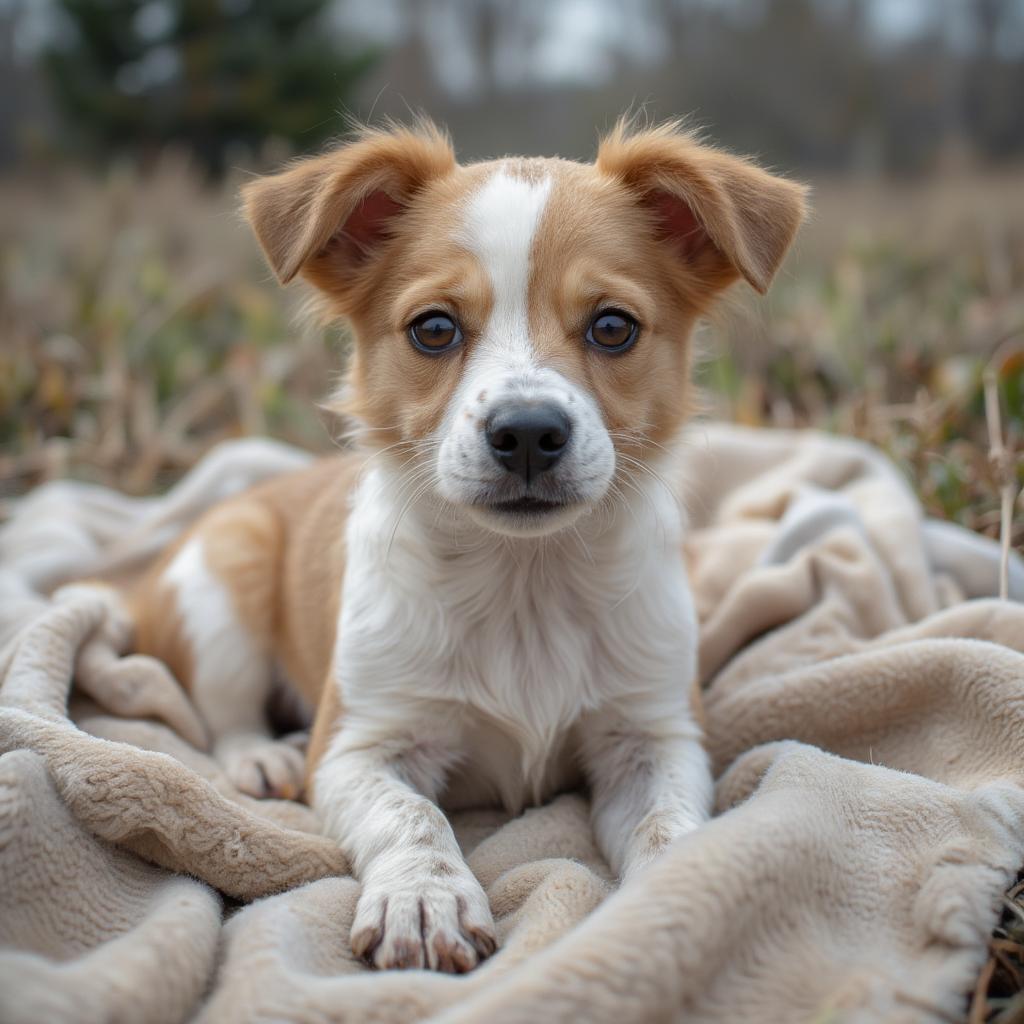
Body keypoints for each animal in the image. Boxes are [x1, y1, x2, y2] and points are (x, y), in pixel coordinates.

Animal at [116, 116, 811, 970]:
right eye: (435, 329)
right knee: (222, 713)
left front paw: (682, 881)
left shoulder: (652, 733)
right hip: (220, 587)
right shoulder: (358, 746)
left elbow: (667, 822)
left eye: (613, 327)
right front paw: (425, 895)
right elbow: (412, 816)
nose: (528, 433)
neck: (523, 585)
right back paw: (260, 756)